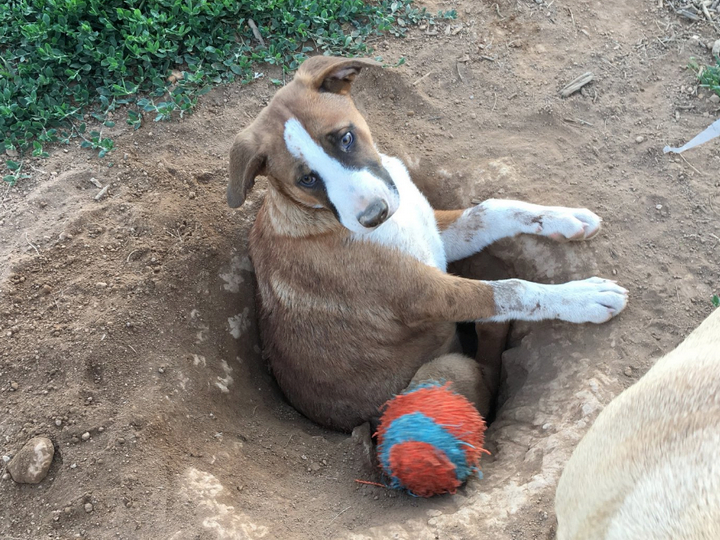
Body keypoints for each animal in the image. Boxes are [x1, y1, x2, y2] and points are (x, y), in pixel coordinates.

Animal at [228, 54, 628, 432]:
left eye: (345, 138)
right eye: (307, 179)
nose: (374, 215)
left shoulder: (436, 237)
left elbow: (490, 210)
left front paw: (564, 217)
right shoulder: (426, 295)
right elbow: (511, 289)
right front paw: (584, 297)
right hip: (446, 369)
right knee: (485, 377)